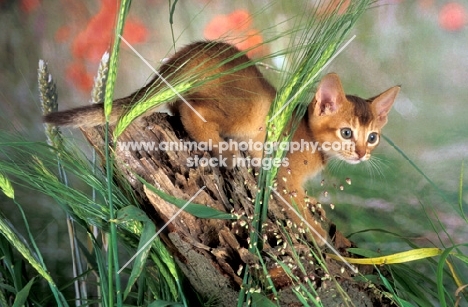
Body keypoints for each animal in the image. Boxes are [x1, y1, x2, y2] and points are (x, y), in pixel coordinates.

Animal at [44, 41, 400, 247]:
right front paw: (329, 248)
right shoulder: (284, 183)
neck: (309, 136)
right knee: (190, 111)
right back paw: (224, 150)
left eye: (372, 137)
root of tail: (180, 58)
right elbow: (302, 216)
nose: (362, 154)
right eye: (346, 133)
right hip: (248, 109)